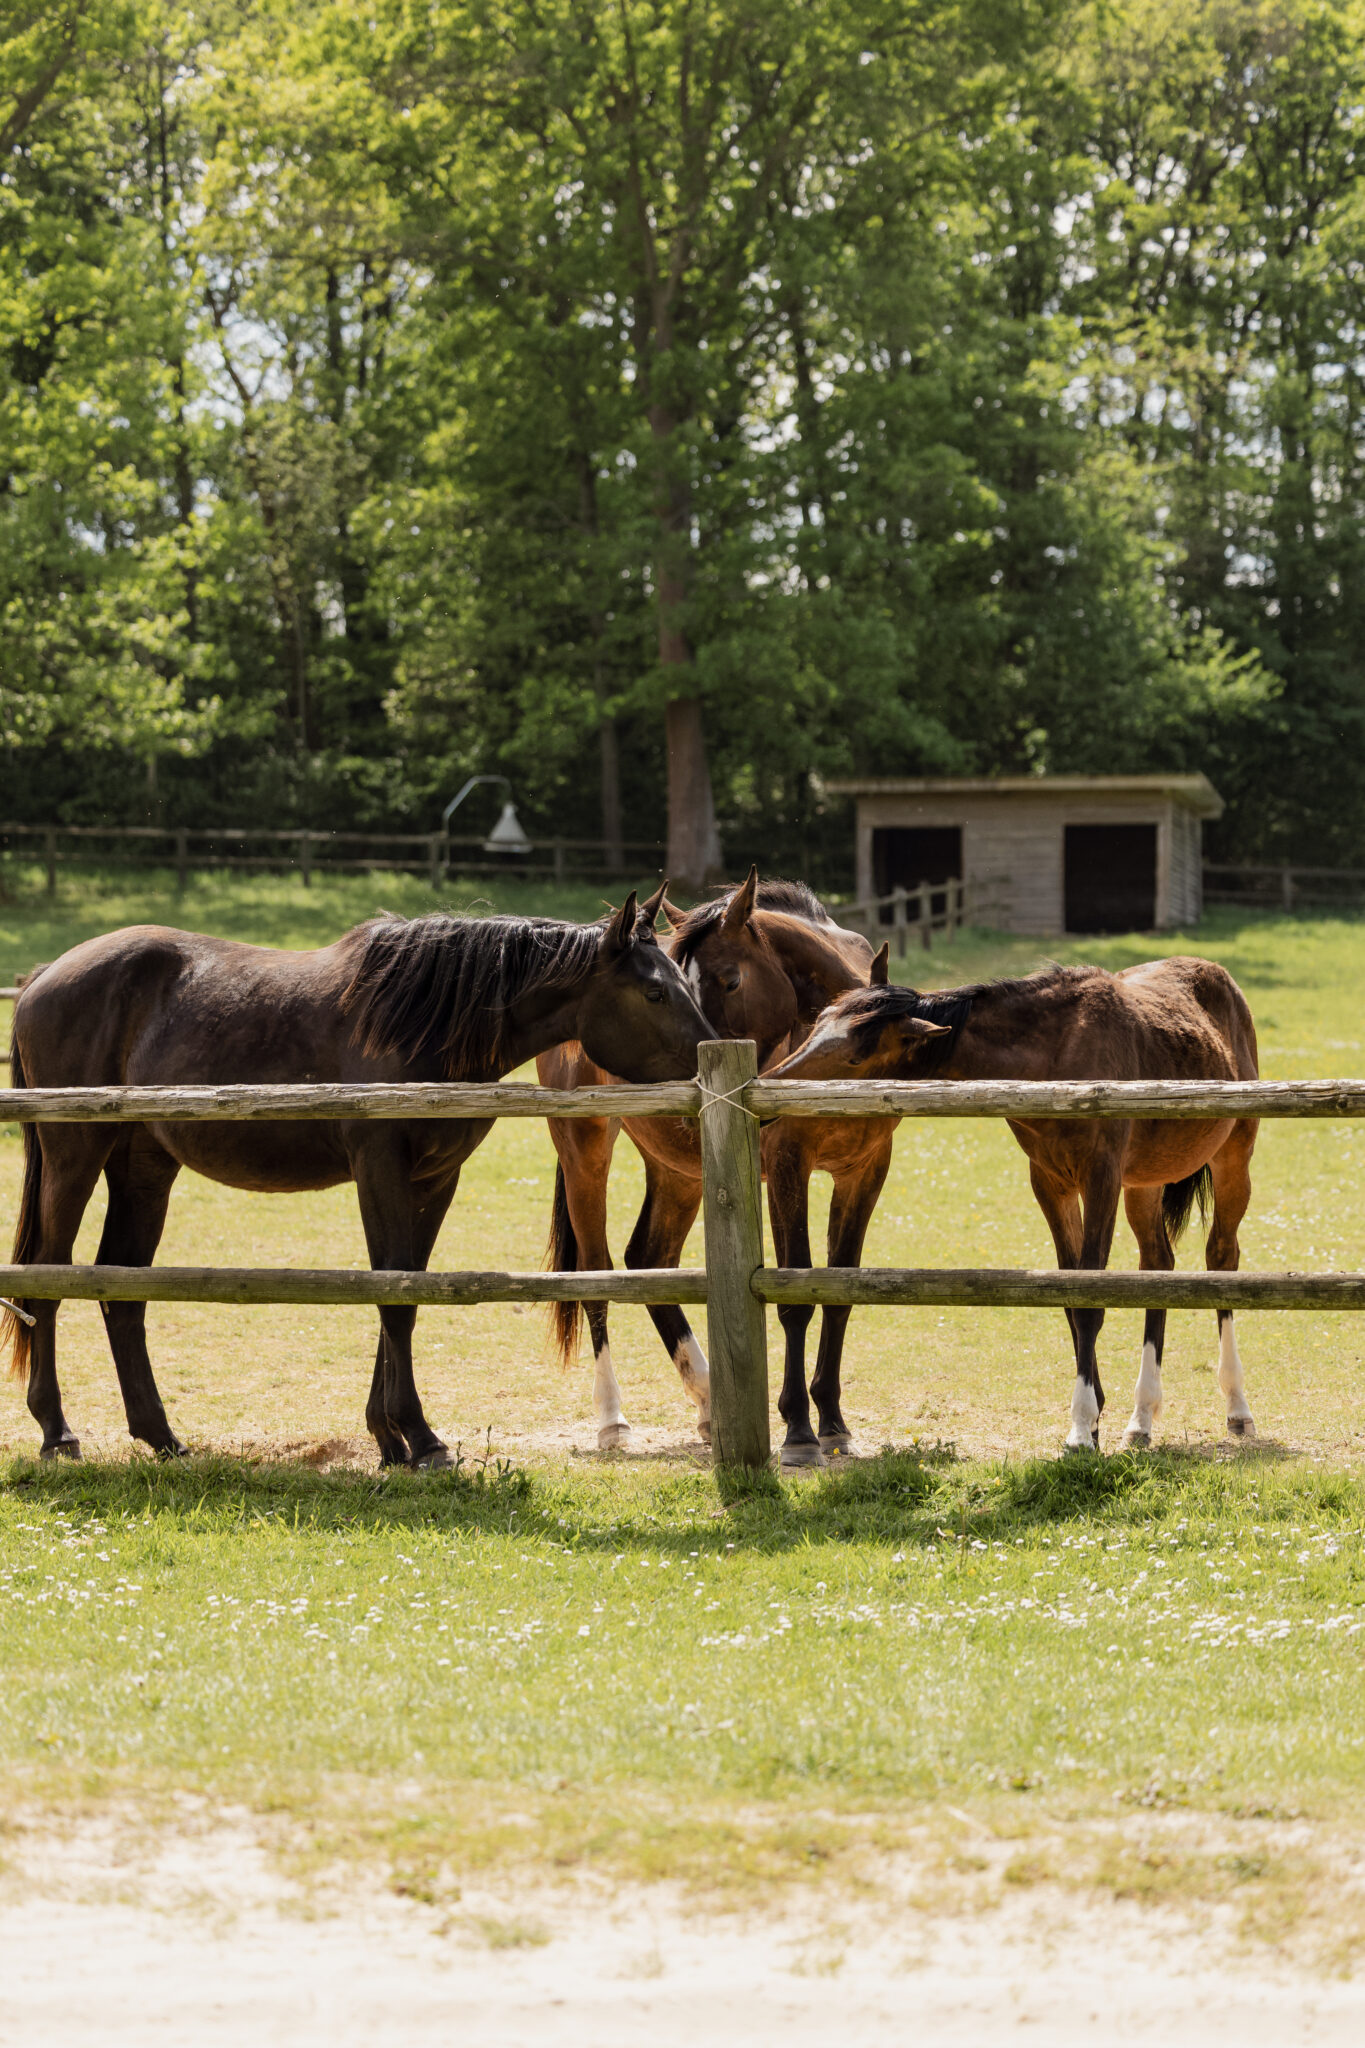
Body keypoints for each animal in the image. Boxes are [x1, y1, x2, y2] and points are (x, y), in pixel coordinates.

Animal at [5, 891, 714, 1467]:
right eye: (655, 992)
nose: (709, 1062)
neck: (422, 1022)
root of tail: (45, 977)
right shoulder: (381, 1171)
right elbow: (392, 1295)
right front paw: (420, 1440)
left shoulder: (435, 1181)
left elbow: (405, 1293)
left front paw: (389, 1438)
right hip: (73, 1158)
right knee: (48, 1279)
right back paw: (57, 1433)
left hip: (144, 1169)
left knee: (120, 1291)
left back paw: (162, 1438)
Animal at [539, 872, 893, 1458]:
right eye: (675, 983)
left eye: (729, 981)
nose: (698, 1059)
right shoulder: (788, 1171)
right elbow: (795, 1297)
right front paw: (798, 1430)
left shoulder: (865, 1172)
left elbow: (839, 1292)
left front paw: (833, 1422)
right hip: (585, 1148)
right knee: (596, 1273)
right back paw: (613, 1419)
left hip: (681, 1174)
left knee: (648, 1259)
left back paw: (708, 1401)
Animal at [767, 959, 1260, 1453]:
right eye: (816, 1025)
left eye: (853, 1057)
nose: (769, 1087)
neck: (1058, 1055)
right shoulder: (1051, 1184)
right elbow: (1072, 1297)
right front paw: (1094, 1418)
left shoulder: (1100, 1180)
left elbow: (1091, 1301)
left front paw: (1081, 1427)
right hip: (1145, 1184)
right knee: (1157, 1264)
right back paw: (1142, 1418)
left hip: (1233, 1159)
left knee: (1222, 1258)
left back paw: (1237, 1407)